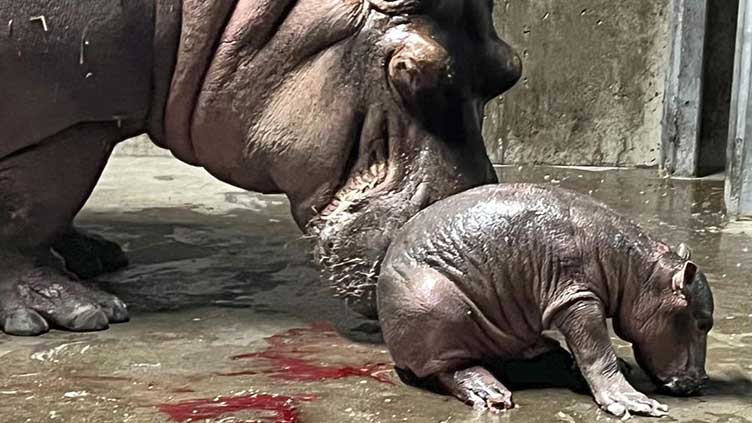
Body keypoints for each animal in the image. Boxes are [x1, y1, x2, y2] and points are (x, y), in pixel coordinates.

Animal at [0, 1, 524, 336]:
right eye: (412, 72)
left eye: (510, 70)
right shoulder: (73, 121)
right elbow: (29, 210)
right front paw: (77, 314)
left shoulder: (96, 112)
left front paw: (89, 262)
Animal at [378, 184, 712, 420]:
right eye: (702, 323)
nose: (702, 381)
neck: (639, 272)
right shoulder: (576, 299)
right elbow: (596, 351)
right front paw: (633, 402)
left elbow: (588, 352)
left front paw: (621, 369)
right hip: (438, 309)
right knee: (451, 367)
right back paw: (493, 394)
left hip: (512, 334)